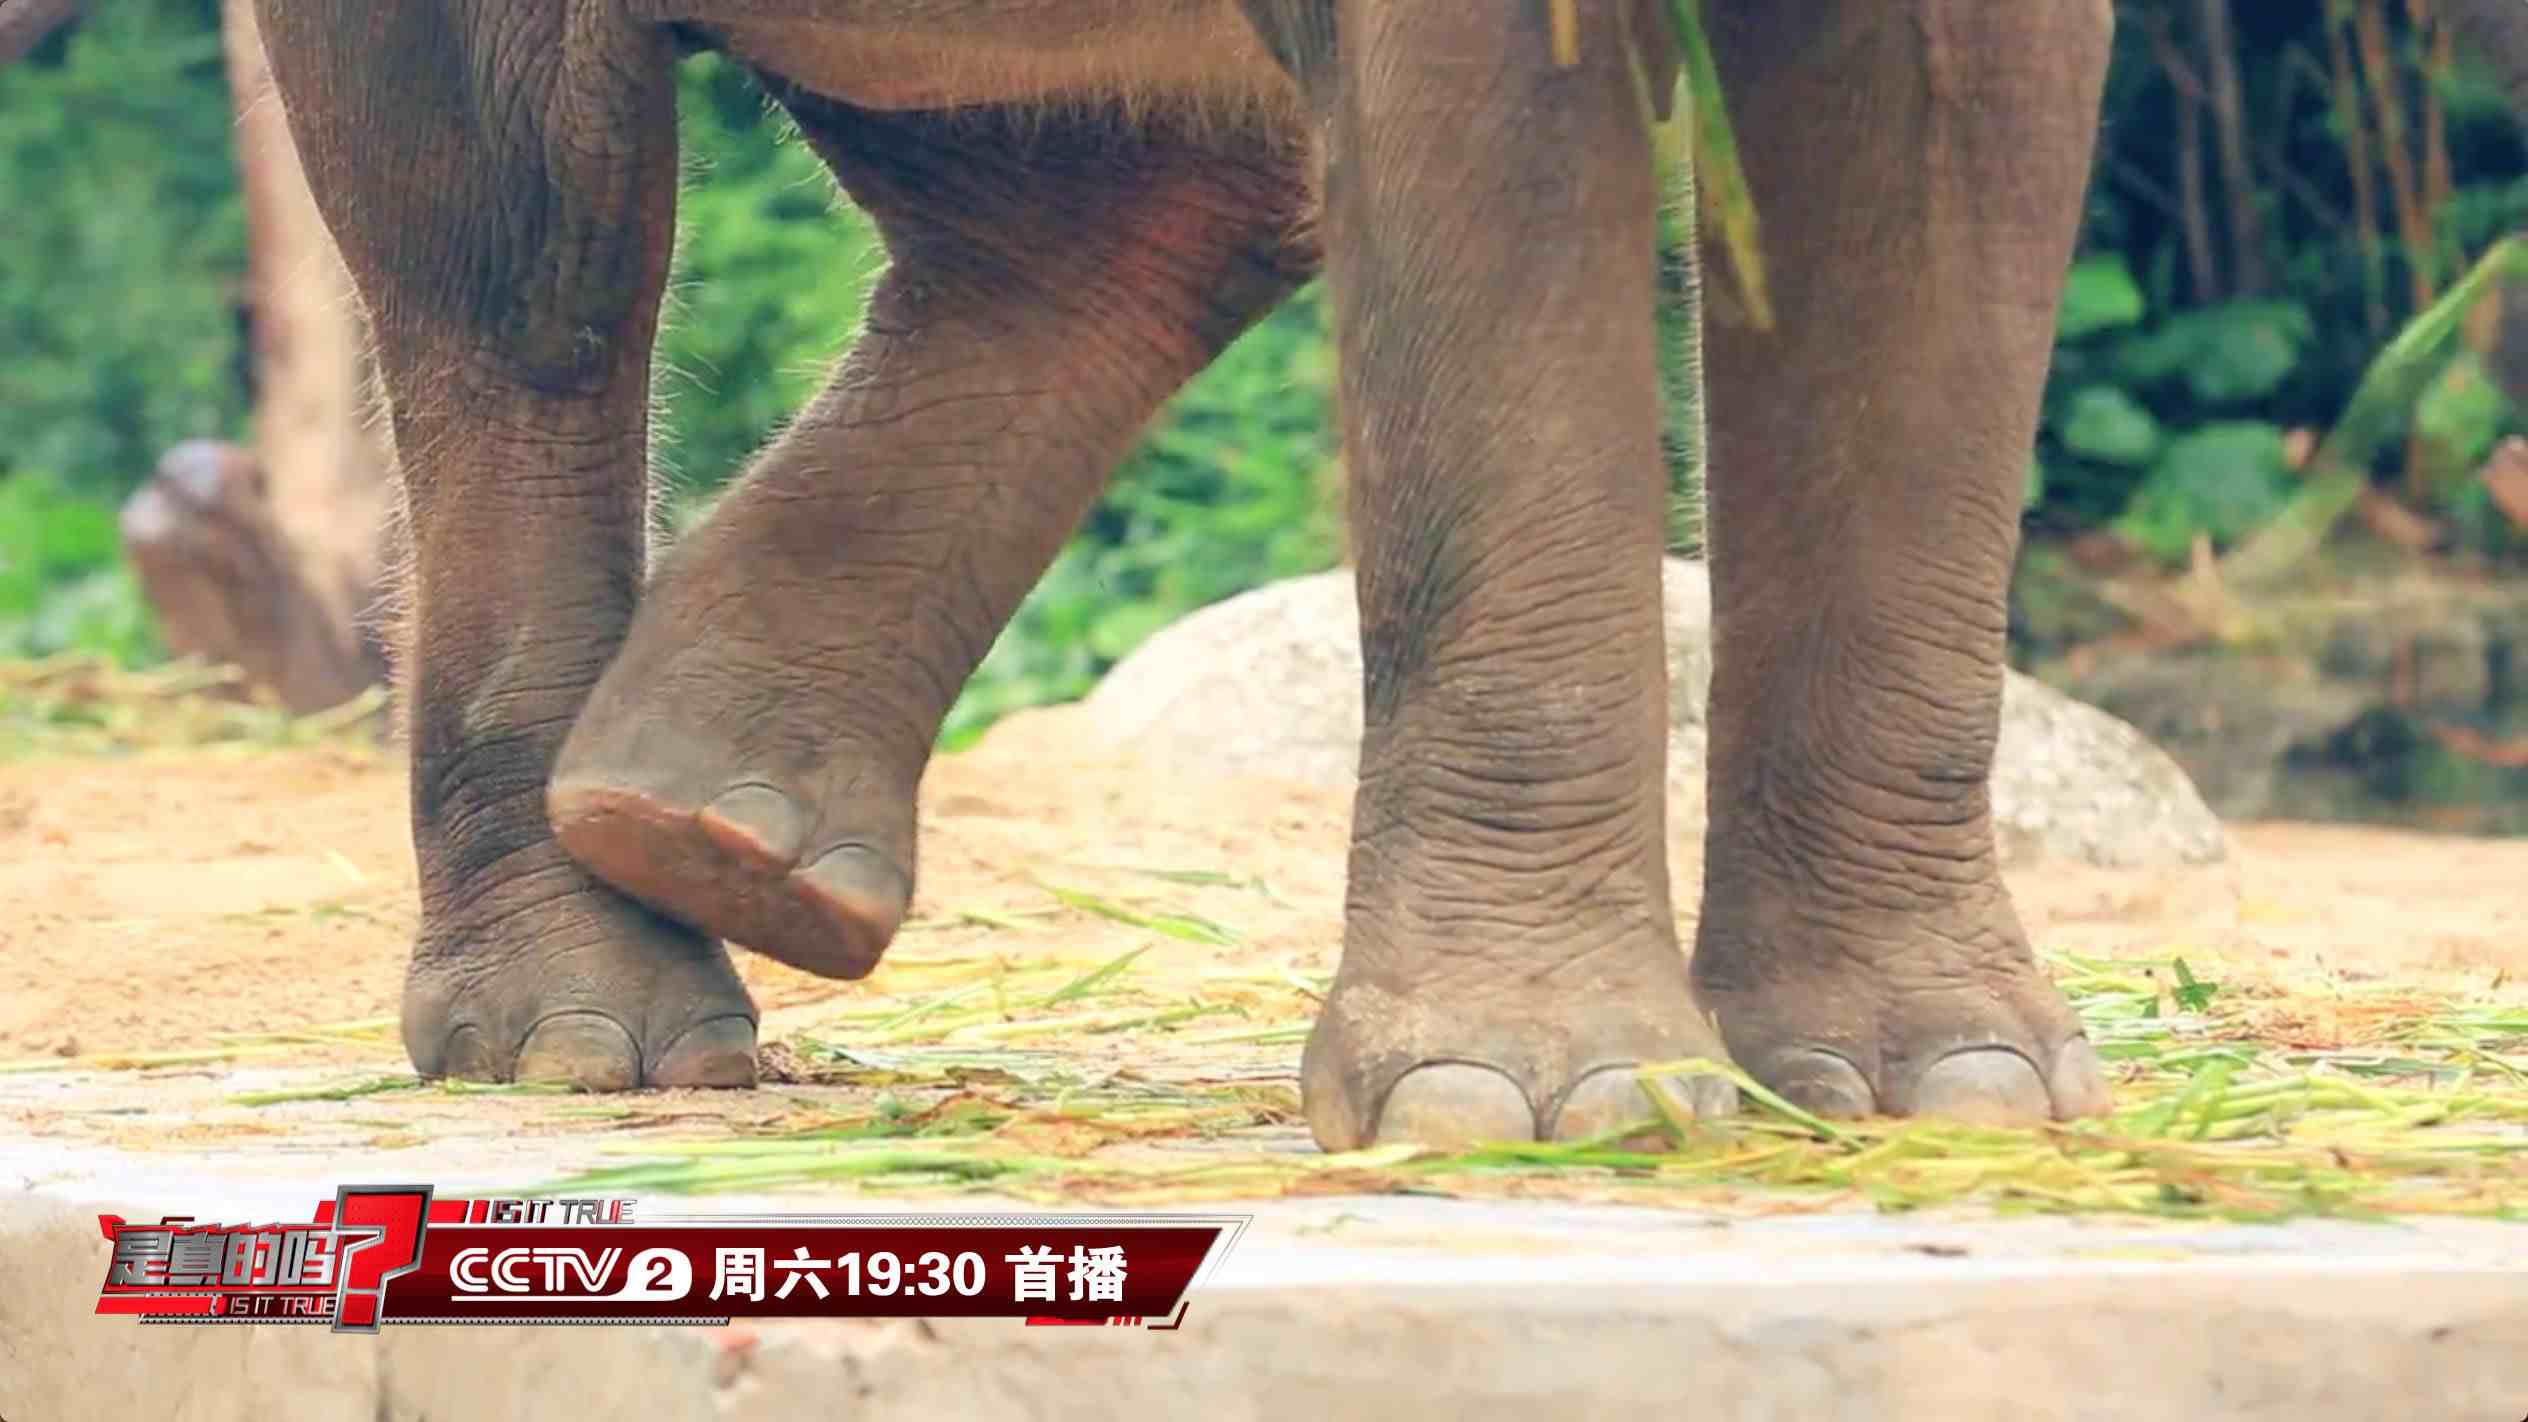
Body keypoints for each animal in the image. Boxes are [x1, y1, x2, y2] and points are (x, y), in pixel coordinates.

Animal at [251, 0, 2113, 1143]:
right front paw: (1538, 1115)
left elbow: (1942, 121)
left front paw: (1956, 1092)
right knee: (523, 253)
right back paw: (599, 1031)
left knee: (1147, 185)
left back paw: (714, 831)